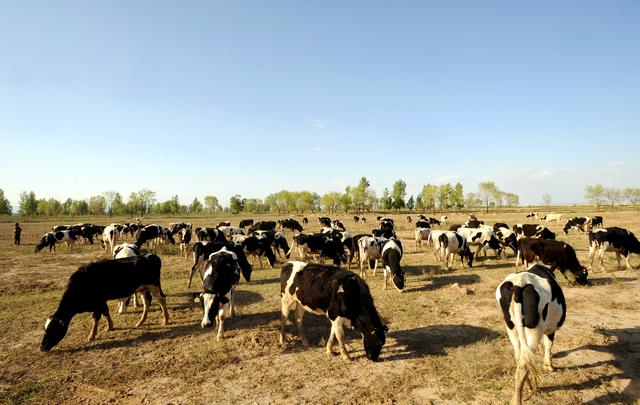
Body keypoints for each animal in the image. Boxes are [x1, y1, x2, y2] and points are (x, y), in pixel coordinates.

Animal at [39, 256, 170, 350]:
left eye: (53, 330)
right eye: (45, 329)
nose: (42, 347)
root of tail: (151, 256)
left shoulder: (98, 302)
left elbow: (96, 317)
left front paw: (91, 335)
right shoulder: (101, 301)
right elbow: (106, 312)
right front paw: (110, 326)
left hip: (153, 285)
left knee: (161, 299)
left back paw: (165, 320)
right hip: (143, 288)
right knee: (147, 302)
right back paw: (140, 322)